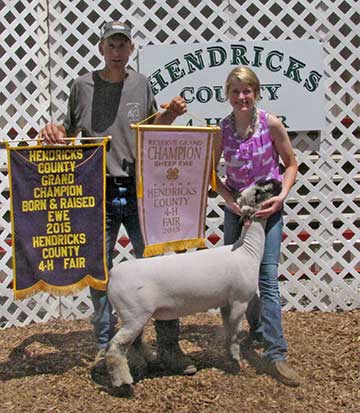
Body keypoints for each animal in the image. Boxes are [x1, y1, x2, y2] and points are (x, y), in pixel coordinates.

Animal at [105, 177, 282, 386]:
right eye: (258, 193)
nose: (277, 182)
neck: (246, 250)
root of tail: (113, 274)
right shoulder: (240, 300)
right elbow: (236, 332)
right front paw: (236, 360)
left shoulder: (226, 302)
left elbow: (228, 330)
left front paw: (230, 356)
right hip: (134, 315)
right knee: (116, 346)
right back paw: (123, 382)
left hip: (134, 316)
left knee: (135, 342)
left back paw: (148, 360)